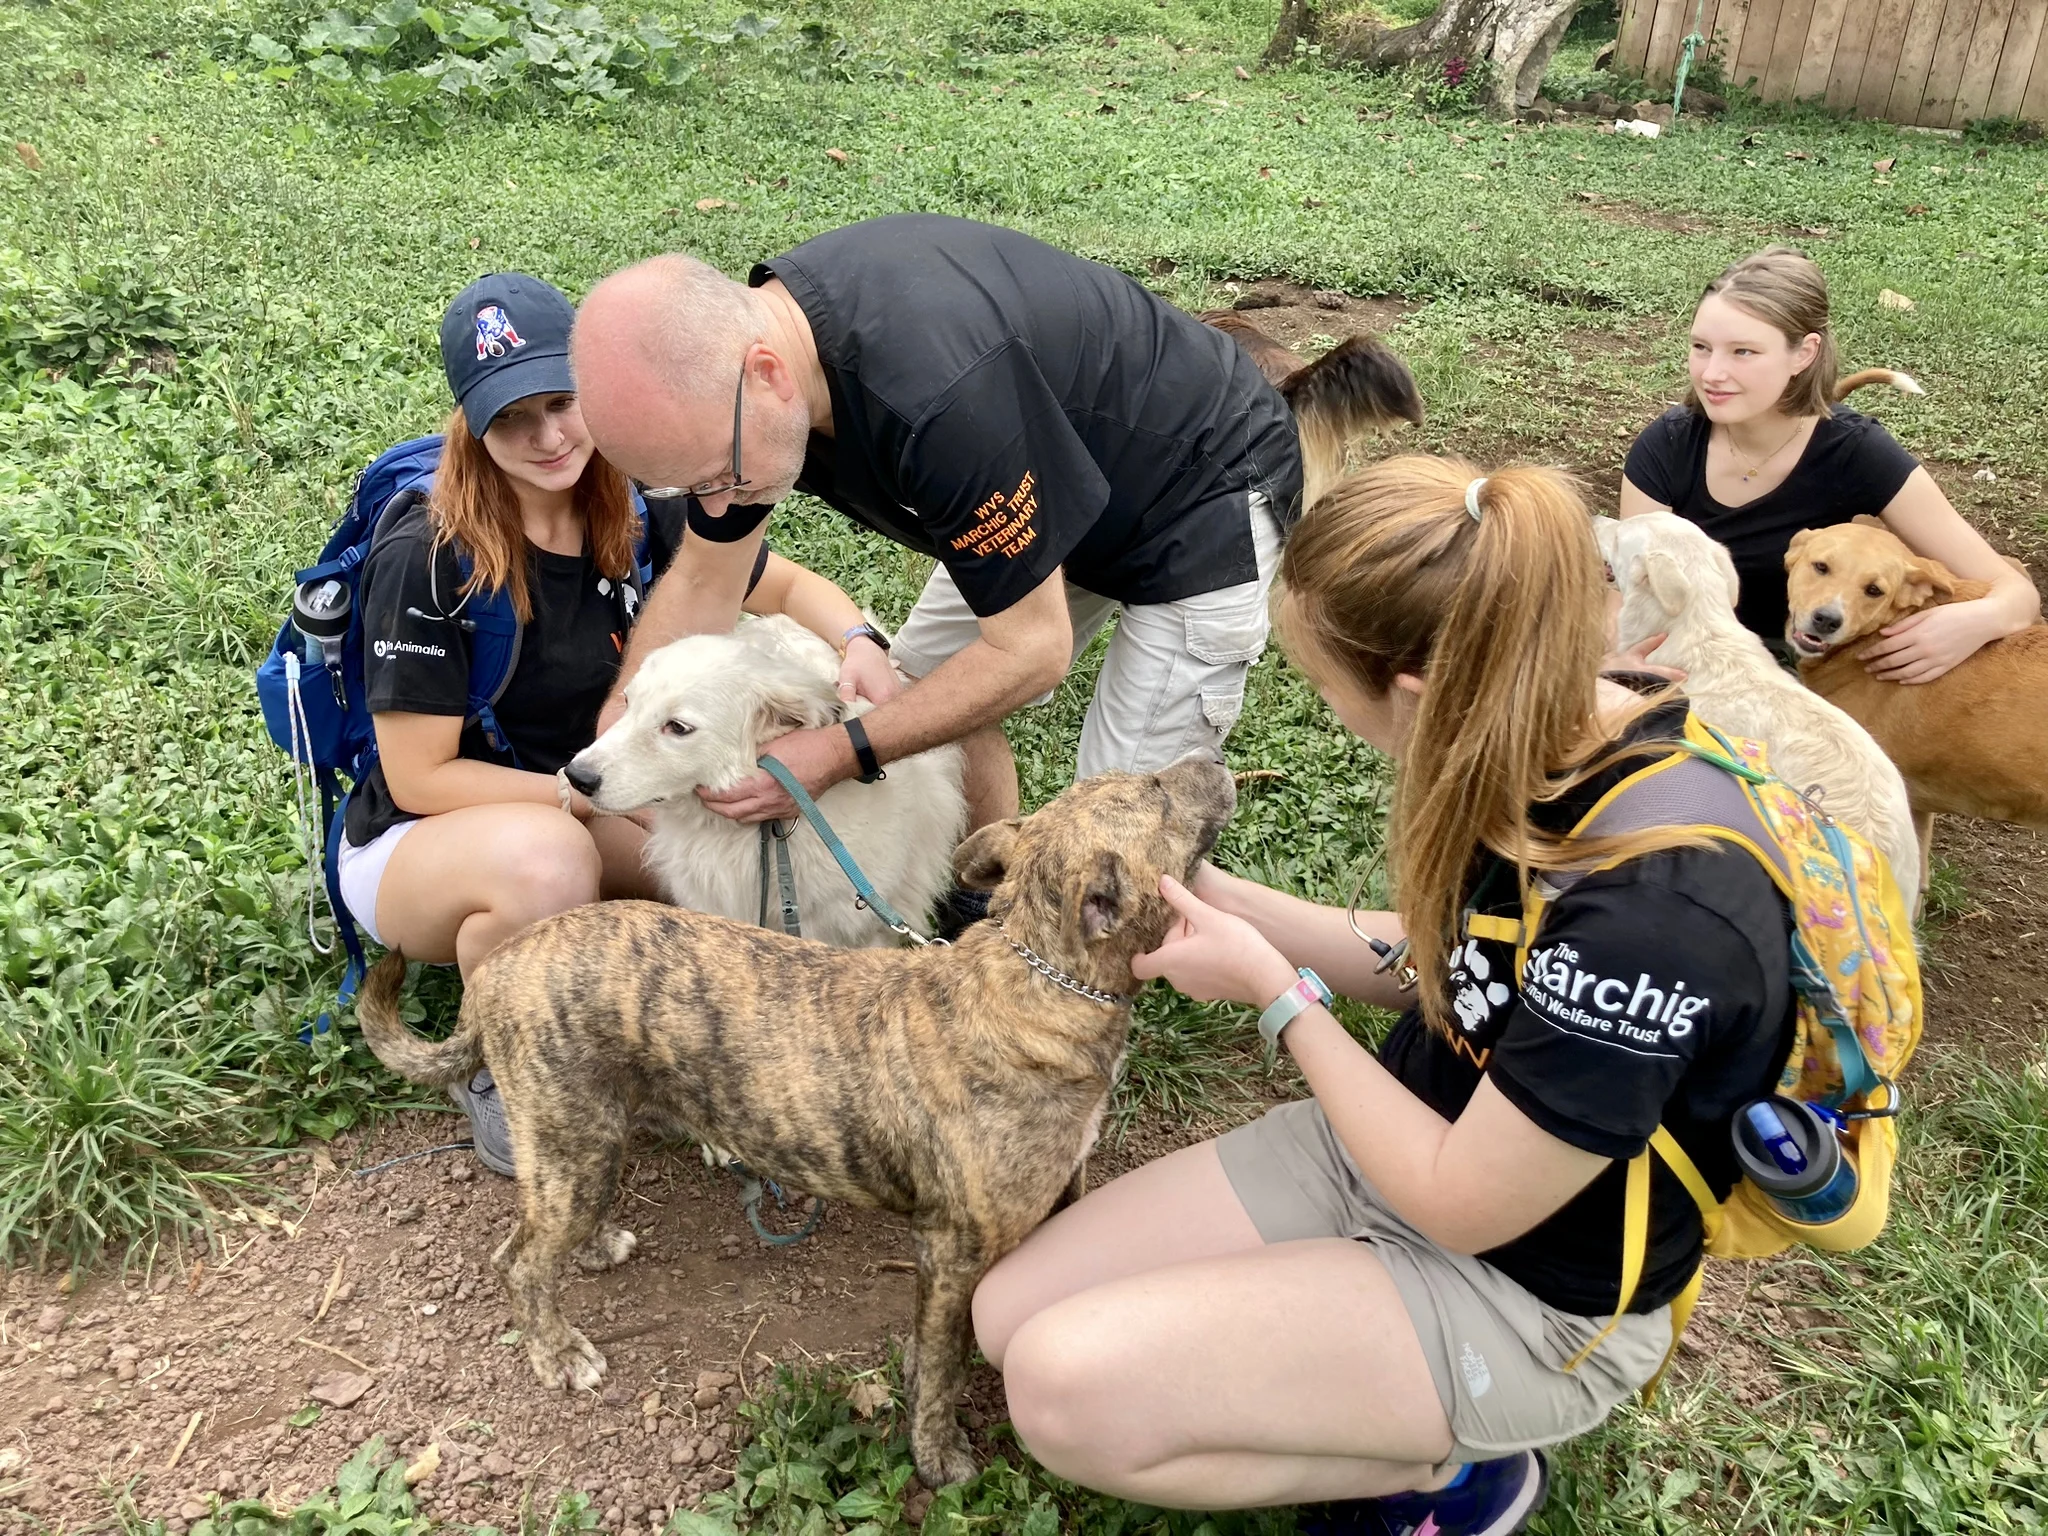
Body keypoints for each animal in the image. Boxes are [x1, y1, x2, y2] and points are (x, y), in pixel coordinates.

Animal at [356, 757, 1228, 1490]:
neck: (1039, 978)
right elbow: (945, 1368)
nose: (1216, 758)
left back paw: (597, 1244)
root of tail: (499, 968)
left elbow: (935, 1352)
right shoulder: (953, 1251)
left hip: (584, 1141)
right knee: (520, 1261)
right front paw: (937, 1454)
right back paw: (559, 1351)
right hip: (571, 1138)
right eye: (1156, 790)